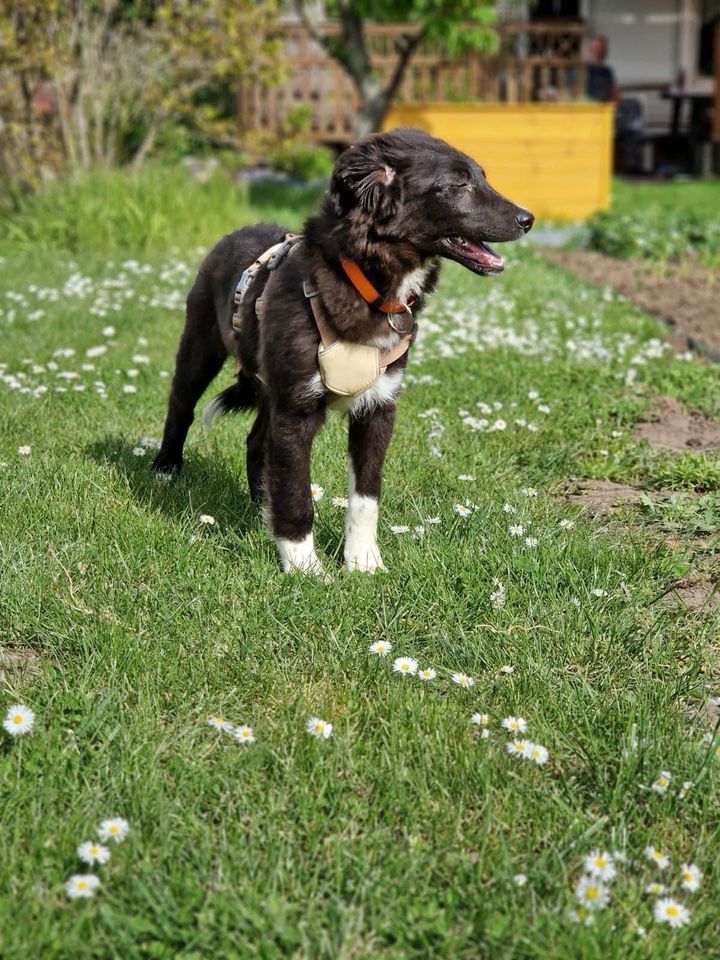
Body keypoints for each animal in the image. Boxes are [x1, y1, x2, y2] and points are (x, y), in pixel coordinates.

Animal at [153, 129, 536, 576]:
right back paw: (165, 470)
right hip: (201, 345)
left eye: (481, 177)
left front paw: (363, 562)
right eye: (458, 184)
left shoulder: (378, 407)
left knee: (256, 441)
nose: (528, 219)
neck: (367, 285)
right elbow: (297, 493)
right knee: (181, 406)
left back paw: (260, 506)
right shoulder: (296, 411)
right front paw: (304, 568)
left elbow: (365, 497)